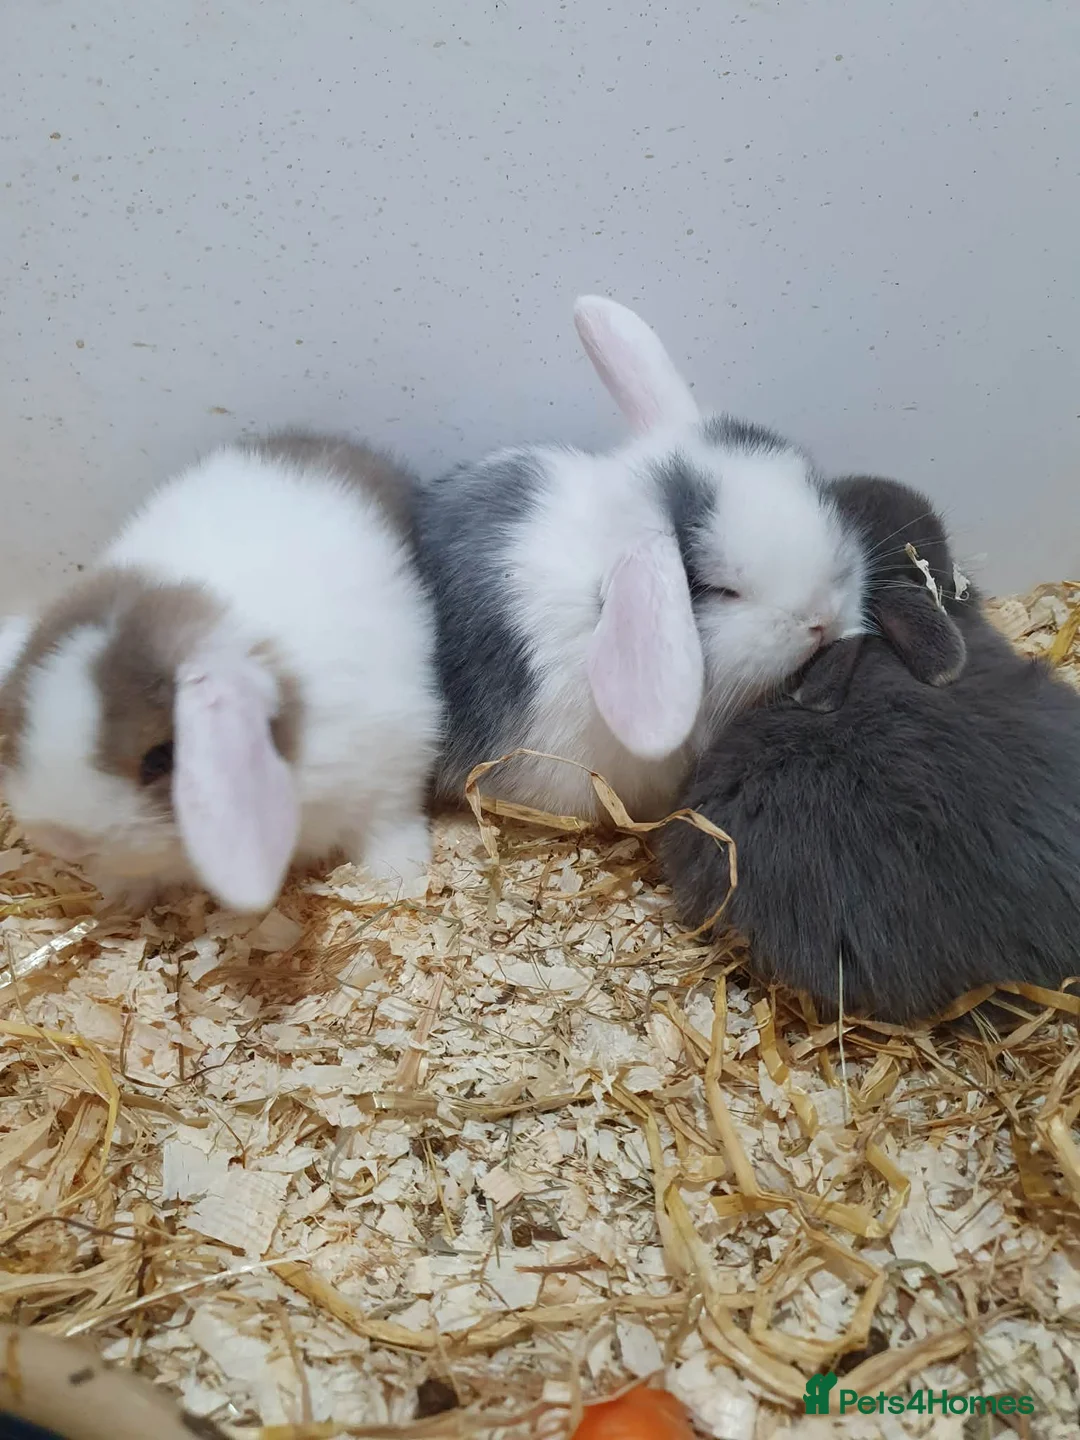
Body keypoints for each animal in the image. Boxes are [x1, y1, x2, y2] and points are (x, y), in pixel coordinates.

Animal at [0, 430, 441, 914]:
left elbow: (389, 825)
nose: (64, 837)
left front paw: (399, 878)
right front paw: (120, 899)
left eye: (161, 757)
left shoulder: (394, 761)